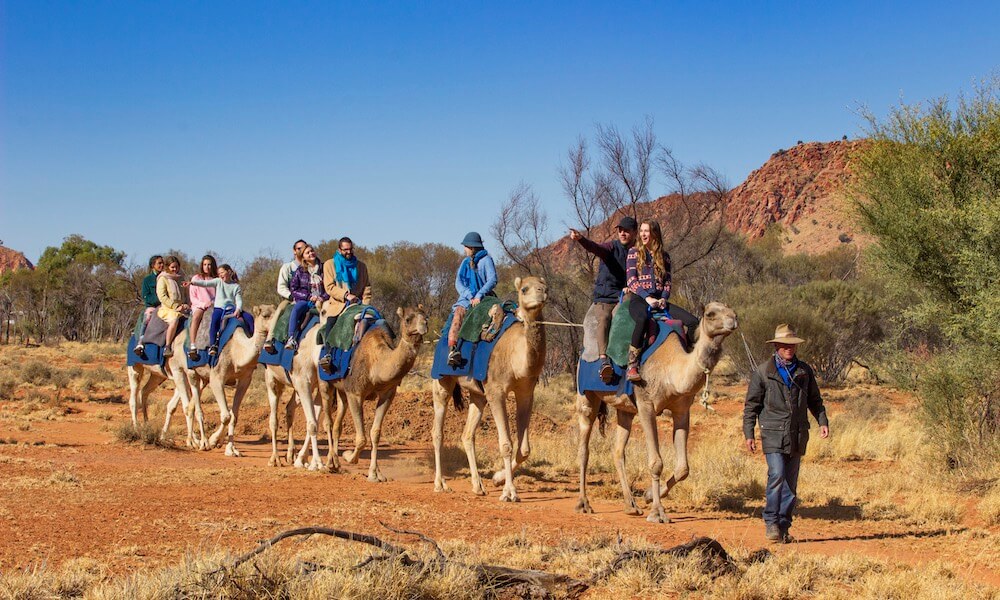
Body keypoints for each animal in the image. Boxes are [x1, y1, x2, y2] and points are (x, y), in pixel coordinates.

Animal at [129, 304, 278, 454]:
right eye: (265, 315)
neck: (237, 351)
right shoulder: (216, 377)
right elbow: (225, 416)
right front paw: (212, 441)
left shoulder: (245, 379)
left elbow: (234, 416)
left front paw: (230, 449)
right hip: (145, 367)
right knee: (136, 396)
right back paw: (138, 430)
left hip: (160, 375)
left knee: (147, 392)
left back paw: (151, 428)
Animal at [332, 308, 430, 480]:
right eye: (407, 319)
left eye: (426, 316)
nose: (424, 324)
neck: (376, 364)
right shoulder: (355, 393)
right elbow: (361, 438)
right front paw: (349, 456)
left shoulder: (387, 395)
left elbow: (375, 433)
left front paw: (375, 474)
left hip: (341, 390)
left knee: (336, 423)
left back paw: (334, 463)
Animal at [430, 276, 548, 502]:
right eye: (524, 289)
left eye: (545, 286)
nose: (542, 292)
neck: (516, 354)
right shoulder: (496, 391)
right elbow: (506, 444)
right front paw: (509, 492)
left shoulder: (526, 392)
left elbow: (524, 449)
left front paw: (498, 479)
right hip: (442, 381)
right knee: (437, 431)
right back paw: (440, 484)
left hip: (478, 394)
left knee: (467, 435)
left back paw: (478, 486)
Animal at [576, 302, 740, 524]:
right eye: (710, 314)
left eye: (731, 310)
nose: (733, 320)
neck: (672, 370)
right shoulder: (647, 406)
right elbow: (656, 463)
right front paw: (657, 512)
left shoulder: (682, 411)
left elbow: (683, 468)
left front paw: (648, 495)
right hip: (587, 397)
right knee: (584, 447)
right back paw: (584, 504)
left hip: (625, 409)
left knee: (618, 450)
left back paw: (631, 506)